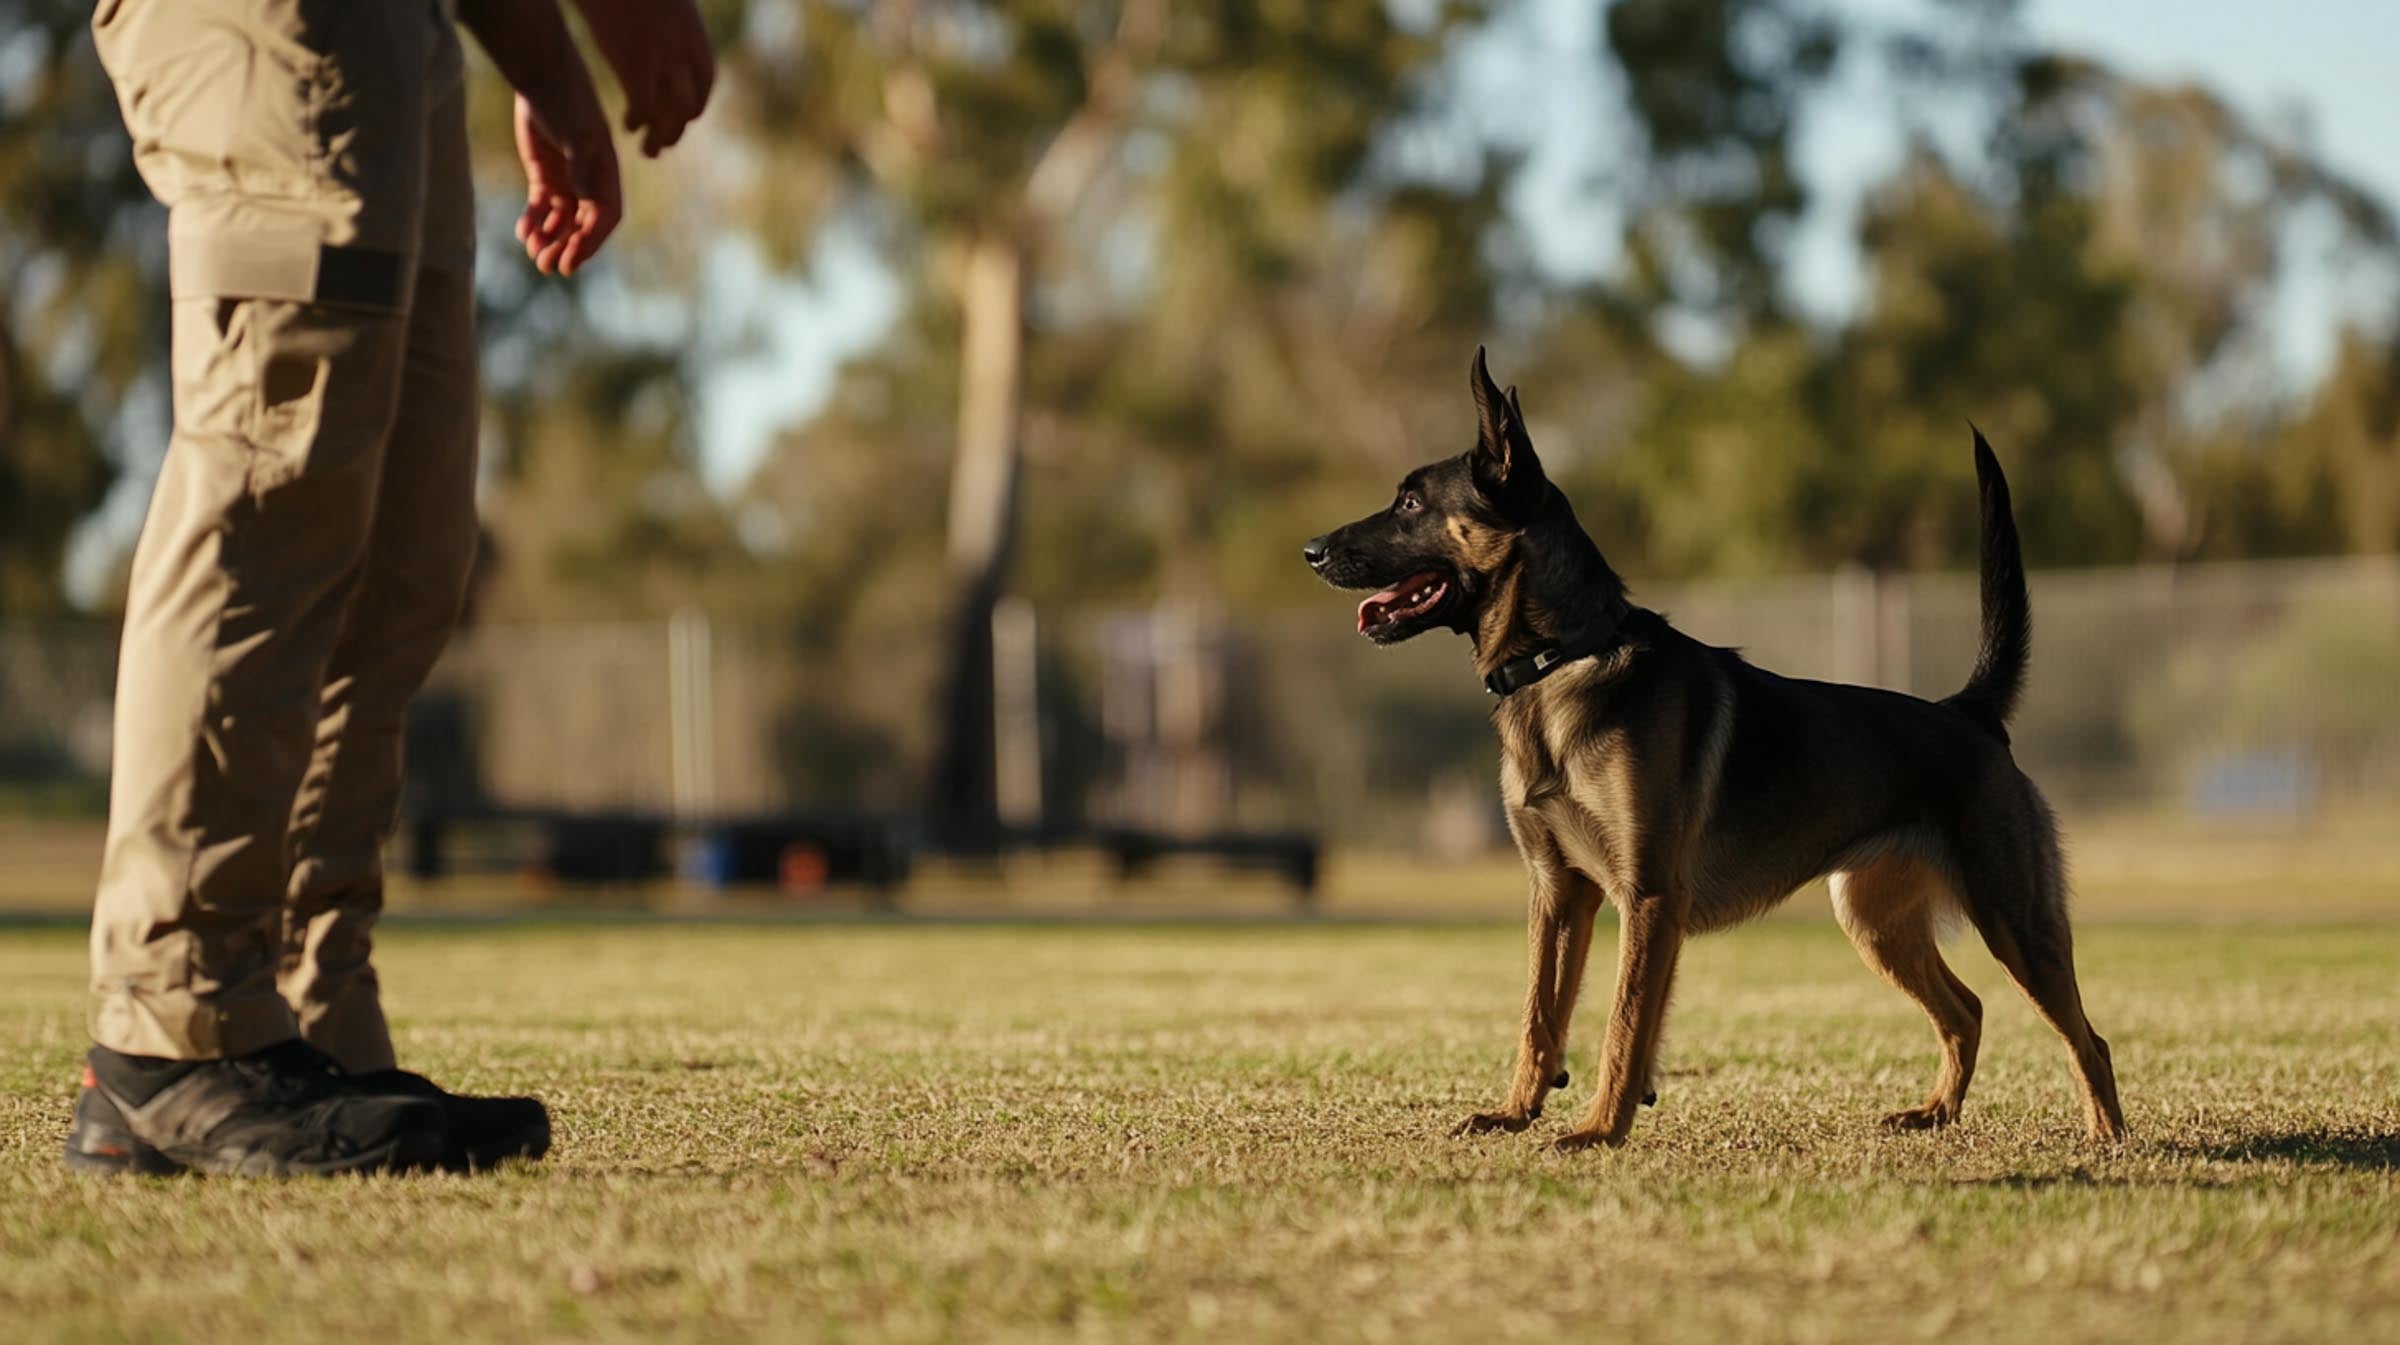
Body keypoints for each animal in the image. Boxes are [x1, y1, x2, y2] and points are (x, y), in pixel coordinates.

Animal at [1305, 353, 2131, 1152]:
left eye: (1412, 504)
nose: (1310, 549)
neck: (1565, 657)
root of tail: (1970, 712)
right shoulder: (1558, 891)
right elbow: (1539, 1017)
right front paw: (1516, 1113)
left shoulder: (1646, 897)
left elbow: (1622, 1024)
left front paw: (1599, 1129)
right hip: (1877, 924)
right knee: (1968, 1010)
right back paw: (1936, 1114)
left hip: (2014, 921)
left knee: (2087, 1037)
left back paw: (2106, 1136)